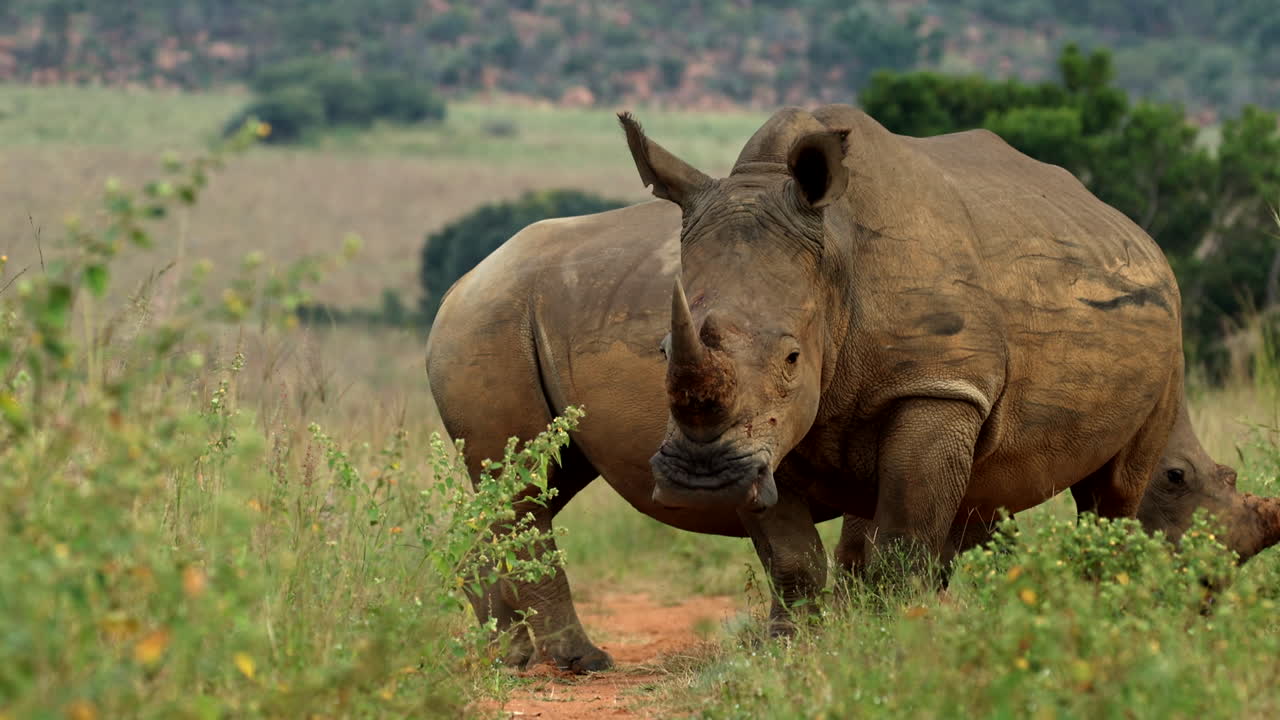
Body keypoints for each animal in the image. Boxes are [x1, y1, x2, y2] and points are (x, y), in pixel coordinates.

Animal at [427, 104, 1280, 670]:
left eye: (794, 356)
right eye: (663, 346)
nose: (701, 480)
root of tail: (460, 281)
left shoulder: (936, 390)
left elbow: (894, 537)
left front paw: (873, 634)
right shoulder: (765, 427)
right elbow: (808, 554)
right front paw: (826, 647)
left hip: (495, 315)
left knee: (529, 480)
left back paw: (507, 656)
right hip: (493, 316)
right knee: (520, 484)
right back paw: (576, 663)